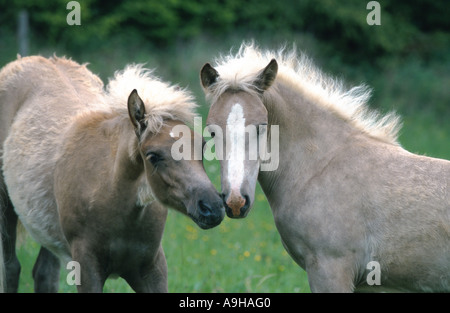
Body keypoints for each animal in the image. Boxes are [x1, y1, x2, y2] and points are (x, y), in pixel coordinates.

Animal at [0, 54, 225, 292]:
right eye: (153, 156)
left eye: (202, 146)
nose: (212, 207)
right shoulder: (86, 267)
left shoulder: (152, 267)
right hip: (6, 208)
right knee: (11, 268)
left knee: (45, 273)